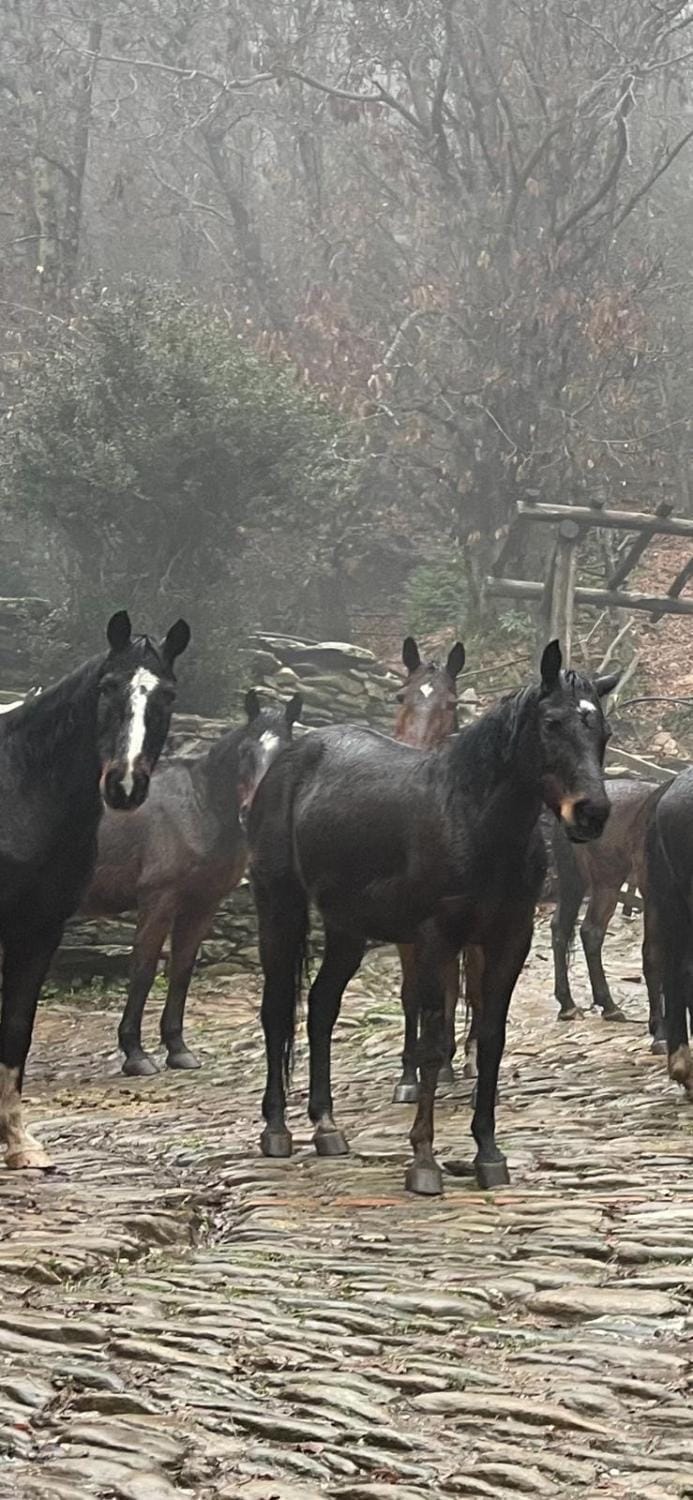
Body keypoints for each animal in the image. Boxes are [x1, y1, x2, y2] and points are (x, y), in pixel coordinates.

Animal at [0, 610, 190, 1170]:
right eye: (107, 686)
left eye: (167, 694)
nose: (124, 785)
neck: (20, 789)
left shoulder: (39, 929)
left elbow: (16, 1029)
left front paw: (19, 1143)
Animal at [80, 690, 303, 1077]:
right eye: (246, 752)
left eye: (285, 752)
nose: (253, 814)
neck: (198, 808)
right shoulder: (158, 900)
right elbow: (143, 969)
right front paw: (135, 1054)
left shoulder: (202, 906)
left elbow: (182, 971)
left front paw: (178, 1049)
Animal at [248, 641, 615, 1197]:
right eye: (552, 723)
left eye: (603, 732)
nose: (591, 813)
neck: (471, 818)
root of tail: (292, 758)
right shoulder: (434, 940)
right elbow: (430, 1040)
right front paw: (423, 1159)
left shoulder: (508, 940)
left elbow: (490, 1038)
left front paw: (488, 1153)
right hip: (280, 907)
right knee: (276, 1010)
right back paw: (276, 1129)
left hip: (347, 928)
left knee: (321, 1007)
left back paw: (326, 1126)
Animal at [551, 777, 665, 1050]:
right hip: (602, 881)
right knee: (584, 930)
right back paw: (598, 1006)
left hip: (580, 881)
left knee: (570, 929)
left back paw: (577, 1005)